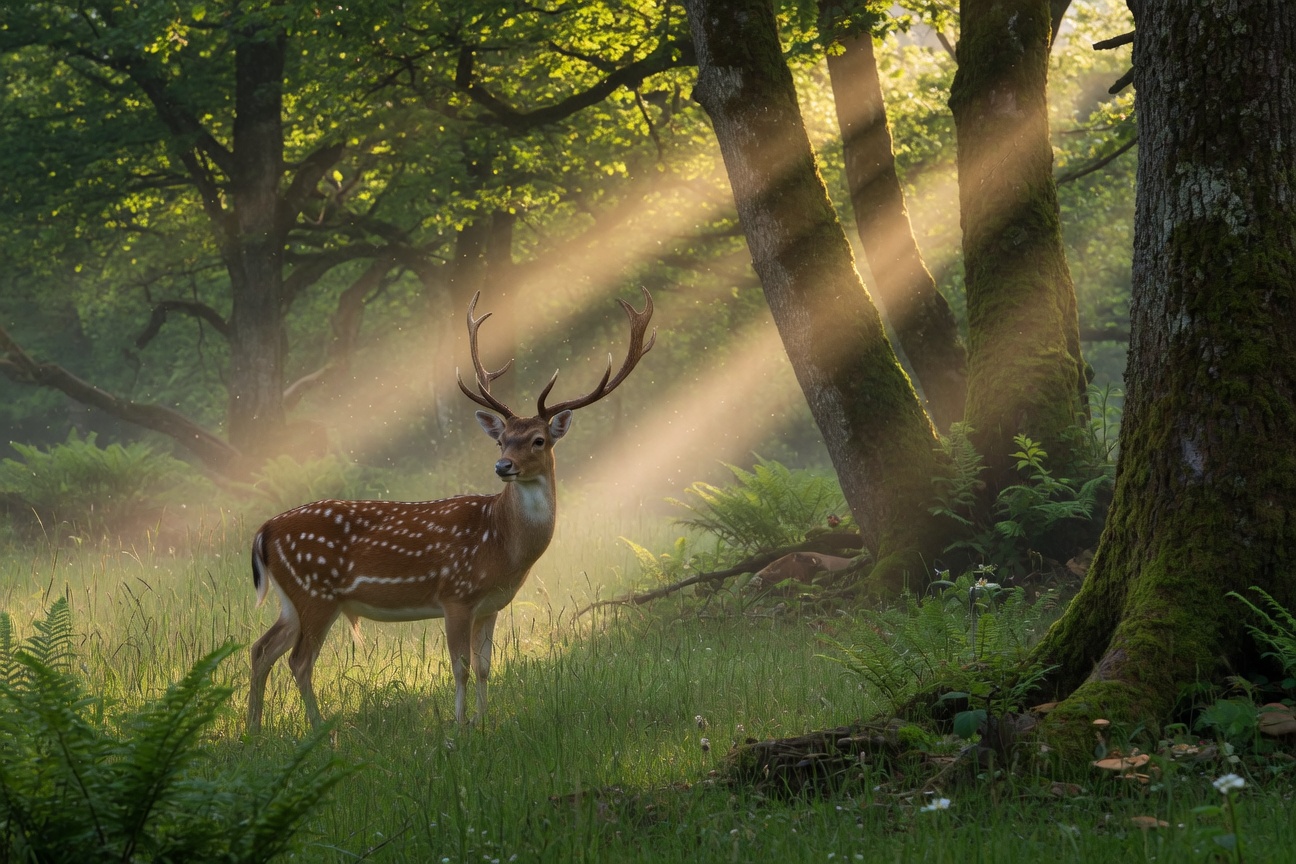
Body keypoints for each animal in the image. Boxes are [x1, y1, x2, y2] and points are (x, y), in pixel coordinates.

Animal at [246, 288, 654, 732]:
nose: (502, 466)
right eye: (502, 440)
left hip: (293, 598)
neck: (502, 545)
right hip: (315, 591)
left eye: (538, 440)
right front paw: (459, 727)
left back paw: (254, 730)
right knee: (299, 660)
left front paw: (483, 722)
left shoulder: (491, 605)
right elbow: (459, 666)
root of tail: (264, 532)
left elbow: (485, 667)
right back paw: (318, 729)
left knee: (261, 648)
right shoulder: (456, 594)